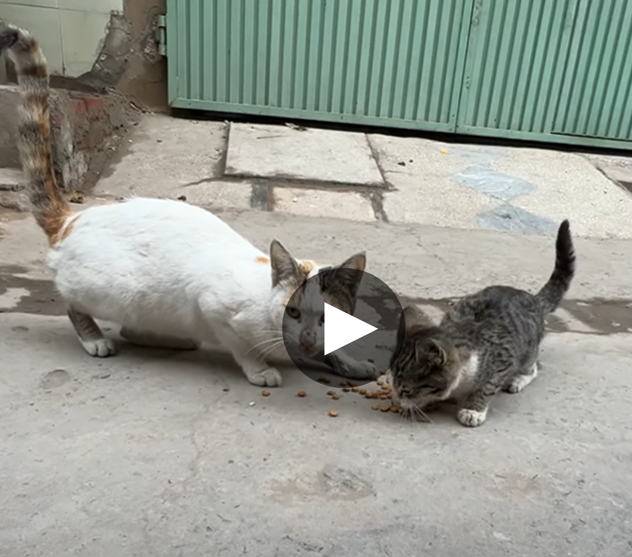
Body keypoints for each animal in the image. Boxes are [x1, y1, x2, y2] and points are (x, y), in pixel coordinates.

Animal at [1, 23, 376, 384]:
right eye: (293, 312)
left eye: (329, 318)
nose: (308, 341)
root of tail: (71, 219)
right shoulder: (215, 308)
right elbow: (240, 346)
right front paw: (259, 369)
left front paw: (347, 361)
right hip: (116, 290)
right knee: (74, 302)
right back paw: (95, 338)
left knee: (133, 328)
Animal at [388, 219, 576, 428]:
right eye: (391, 383)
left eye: (405, 391)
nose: (396, 399)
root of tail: (533, 298)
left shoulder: (503, 360)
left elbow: (487, 387)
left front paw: (473, 410)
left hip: (527, 351)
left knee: (533, 367)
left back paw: (519, 379)